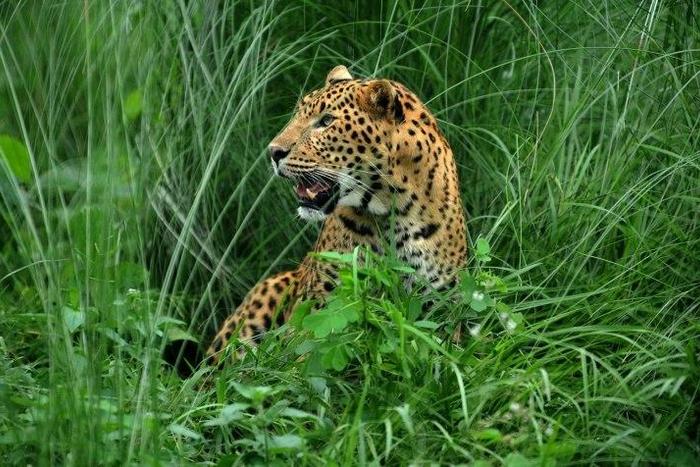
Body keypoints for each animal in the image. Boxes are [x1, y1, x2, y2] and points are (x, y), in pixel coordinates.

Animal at [207, 65, 467, 362]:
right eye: (298, 114)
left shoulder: (441, 307)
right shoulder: (321, 304)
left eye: (326, 121)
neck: (393, 213)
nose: (273, 152)